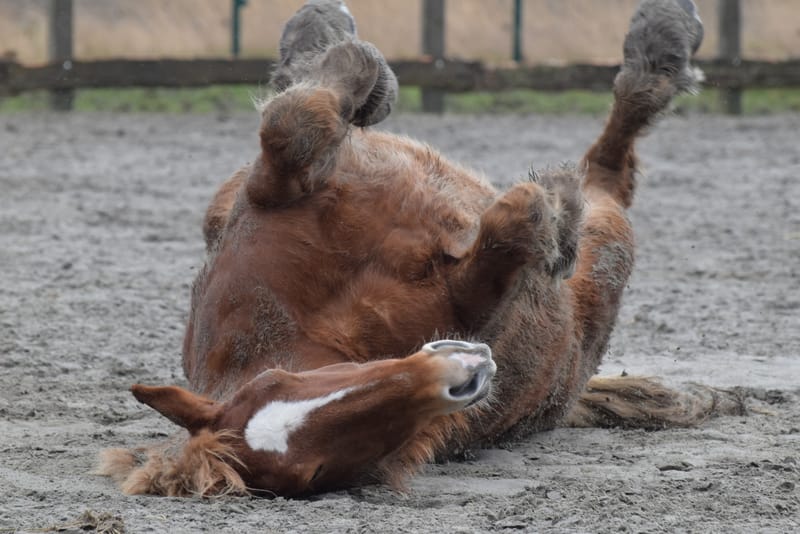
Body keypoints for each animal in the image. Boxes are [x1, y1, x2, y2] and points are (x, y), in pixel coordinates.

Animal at [97, 0, 739, 497]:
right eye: (319, 472)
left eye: (277, 382)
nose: (458, 373)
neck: (318, 327)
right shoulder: (475, 302)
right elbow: (515, 222)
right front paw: (555, 212)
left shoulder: (267, 196)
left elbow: (293, 122)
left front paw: (353, 67)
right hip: (605, 267)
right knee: (610, 167)